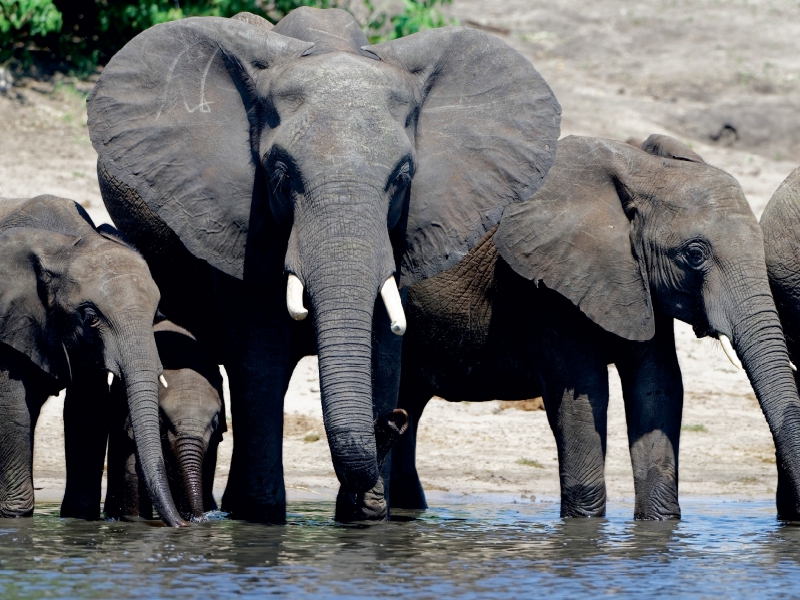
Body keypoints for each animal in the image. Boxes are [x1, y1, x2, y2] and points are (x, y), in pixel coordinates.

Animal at [0, 193, 184, 524]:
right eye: (90, 317)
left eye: (156, 315)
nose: (185, 523)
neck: (66, 245)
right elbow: (13, 409)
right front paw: (16, 517)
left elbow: (87, 411)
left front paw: (79, 519)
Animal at [104, 318, 225, 520]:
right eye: (162, 418)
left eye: (214, 422)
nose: (198, 518)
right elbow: (133, 468)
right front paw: (136, 521)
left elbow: (205, 468)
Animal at [390, 135, 800, 520]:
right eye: (695, 255)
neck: (642, 170)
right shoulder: (545, 286)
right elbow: (584, 389)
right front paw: (583, 527)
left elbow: (657, 385)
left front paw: (658, 525)